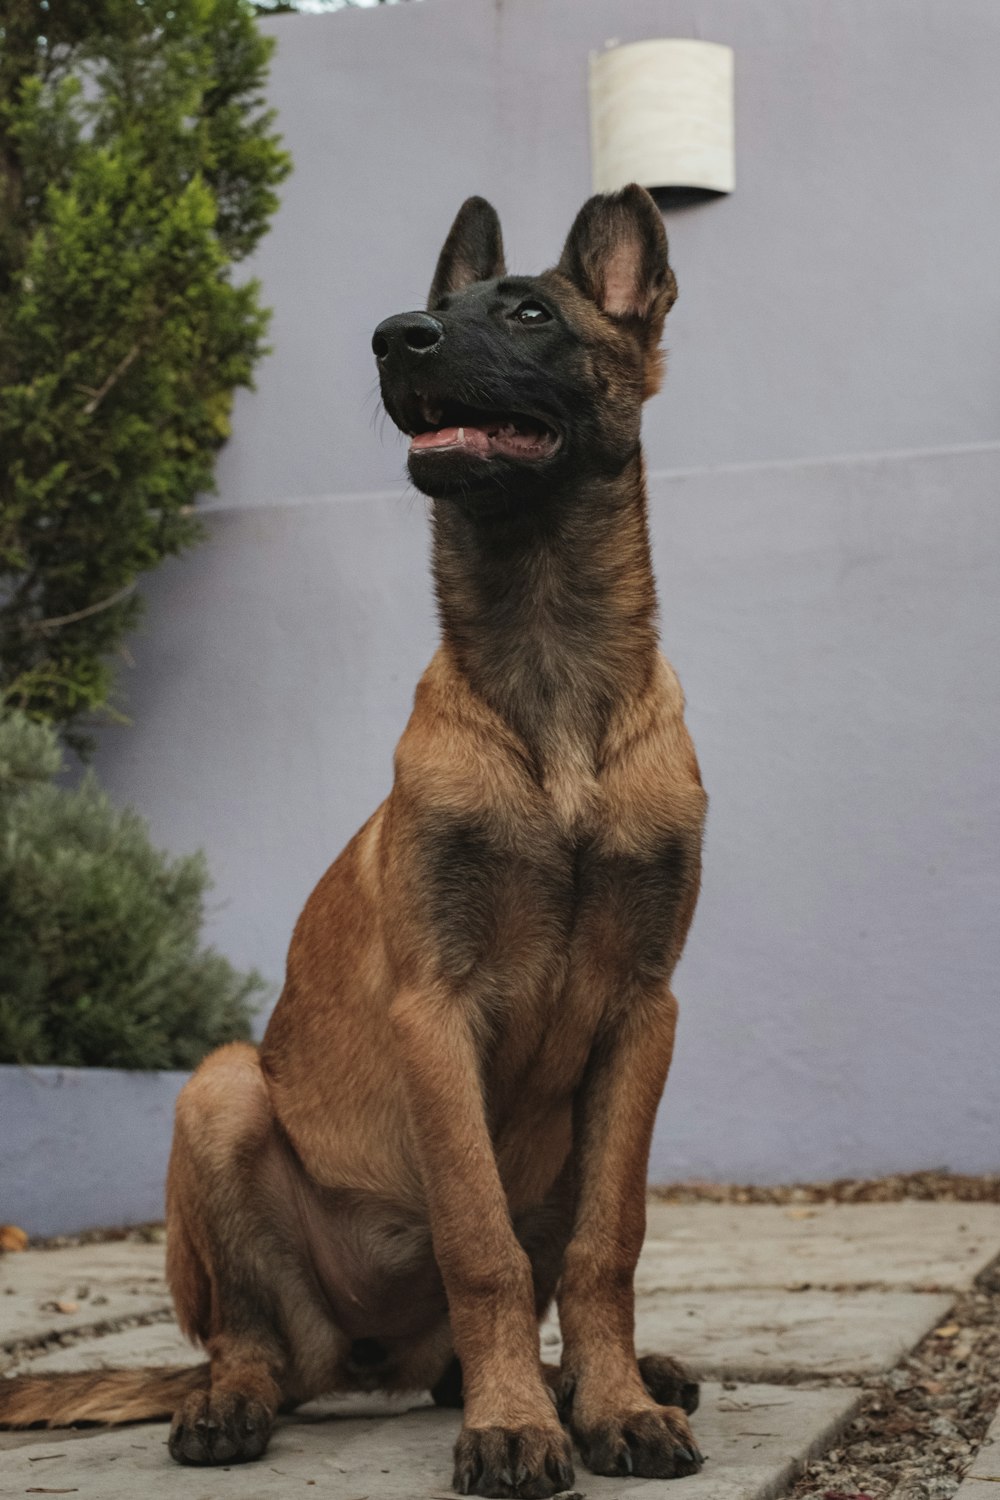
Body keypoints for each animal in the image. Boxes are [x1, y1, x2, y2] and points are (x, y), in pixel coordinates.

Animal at [0, 187, 707, 1500]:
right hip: (223, 1092)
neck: (547, 663)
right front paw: (514, 1426)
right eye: (434, 308)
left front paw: (614, 1404)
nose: (394, 338)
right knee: (247, 1341)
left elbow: (609, 1243)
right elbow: (480, 1242)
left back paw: (595, 1375)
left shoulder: (644, 1015)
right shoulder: (435, 1008)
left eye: (528, 313)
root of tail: (384, 1357)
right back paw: (245, 1405)